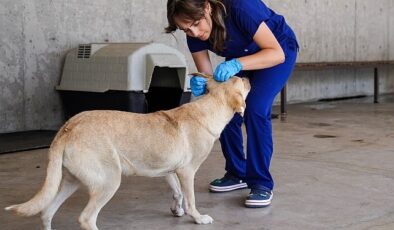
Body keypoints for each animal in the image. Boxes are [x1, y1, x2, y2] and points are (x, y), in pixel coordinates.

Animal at [5, 76, 249, 229]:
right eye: (239, 78)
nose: (248, 77)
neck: (208, 110)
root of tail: (69, 127)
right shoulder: (187, 172)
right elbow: (190, 199)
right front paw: (197, 218)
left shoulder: (170, 171)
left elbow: (177, 192)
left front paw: (176, 209)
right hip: (109, 181)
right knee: (86, 218)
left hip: (70, 182)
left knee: (46, 212)